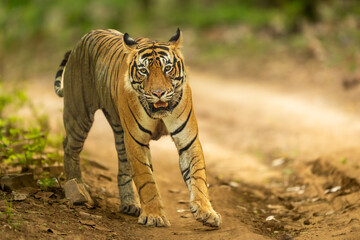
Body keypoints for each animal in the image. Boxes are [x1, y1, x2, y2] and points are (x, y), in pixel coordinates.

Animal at [54, 28, 221, 227]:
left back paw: (129, 203)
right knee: (69, 147)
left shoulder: (188, 140)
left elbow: (198, 176)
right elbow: (146, 180)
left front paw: (206, 212)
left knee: (123, 166)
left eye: (167, 68)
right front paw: (154, 216)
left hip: (119, 130)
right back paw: (77, 188)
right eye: (143, 71)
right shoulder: (136, 140)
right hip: (79, 115)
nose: (158, 93)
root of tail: (88, 34)